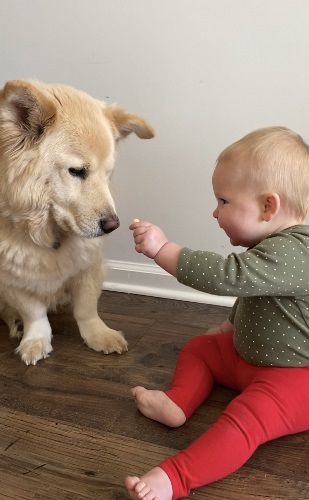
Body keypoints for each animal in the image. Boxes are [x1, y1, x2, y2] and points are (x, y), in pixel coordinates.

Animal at [0, 80, 154, 366]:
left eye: (108, 174)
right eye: (77, 171)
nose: (113, 225)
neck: (47, 234)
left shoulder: (89, 266)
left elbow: (86, 308)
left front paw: (99, 335)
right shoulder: (11, 279)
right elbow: (34, 312)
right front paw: (35, 339)